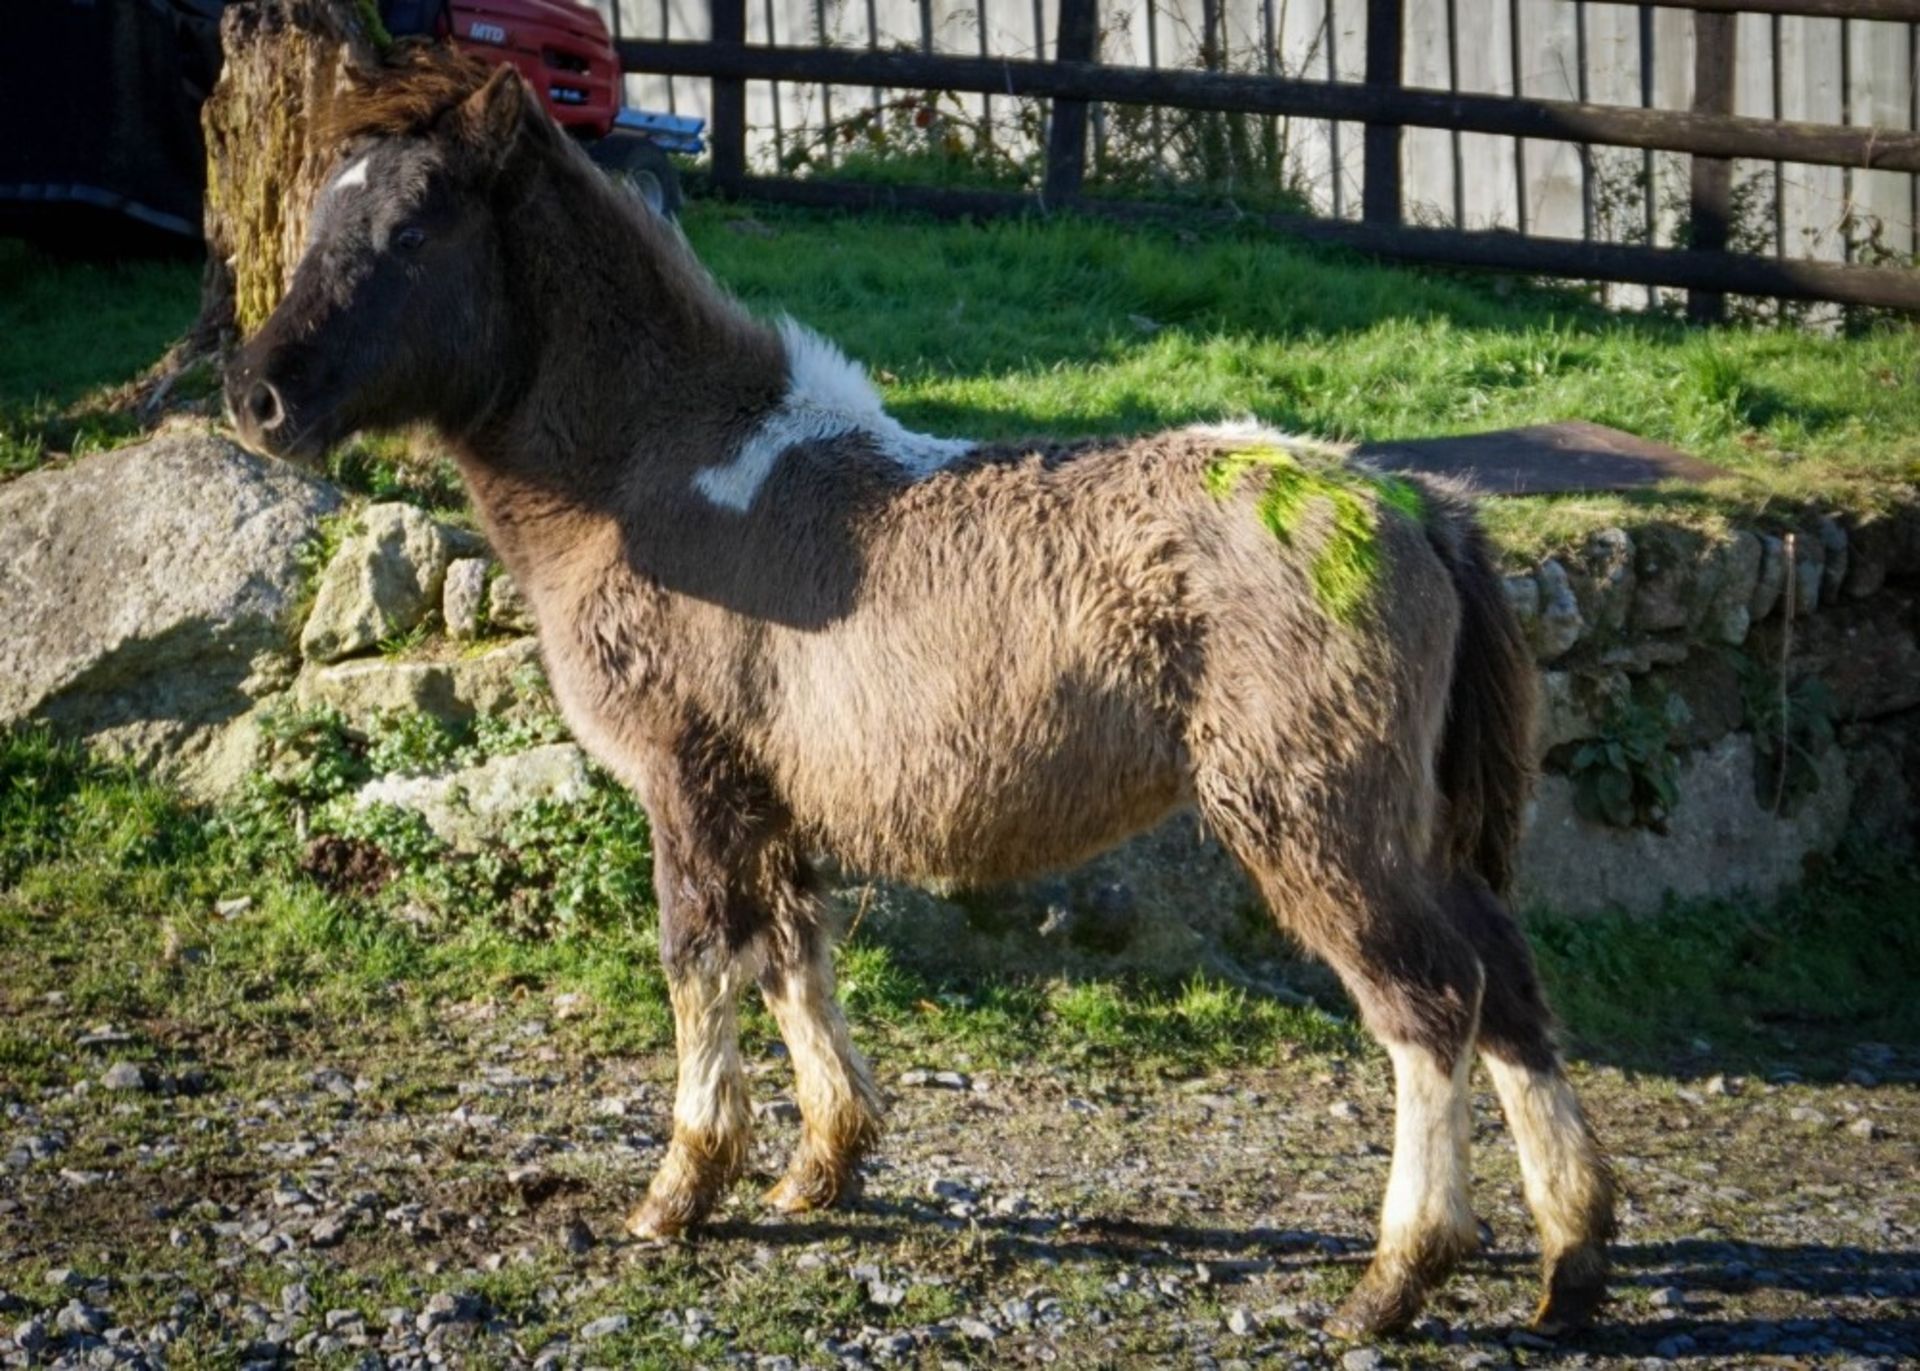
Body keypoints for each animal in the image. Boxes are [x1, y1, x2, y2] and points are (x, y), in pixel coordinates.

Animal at [220, 45, 1605, 1336]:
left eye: (412, 231)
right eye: (319, 220)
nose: (258, 396)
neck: (664, 472)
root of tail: (1415, 508)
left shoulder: (688, 786)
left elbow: (699, 959)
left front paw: (679, 1192)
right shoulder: (770, 802)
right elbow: (795, 958)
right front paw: (819, 1169)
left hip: (1319, 829)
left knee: (1433, 1005)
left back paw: (1397, 1279)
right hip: (1418, 834)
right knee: (1513, 991)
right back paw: (1571, 1266)